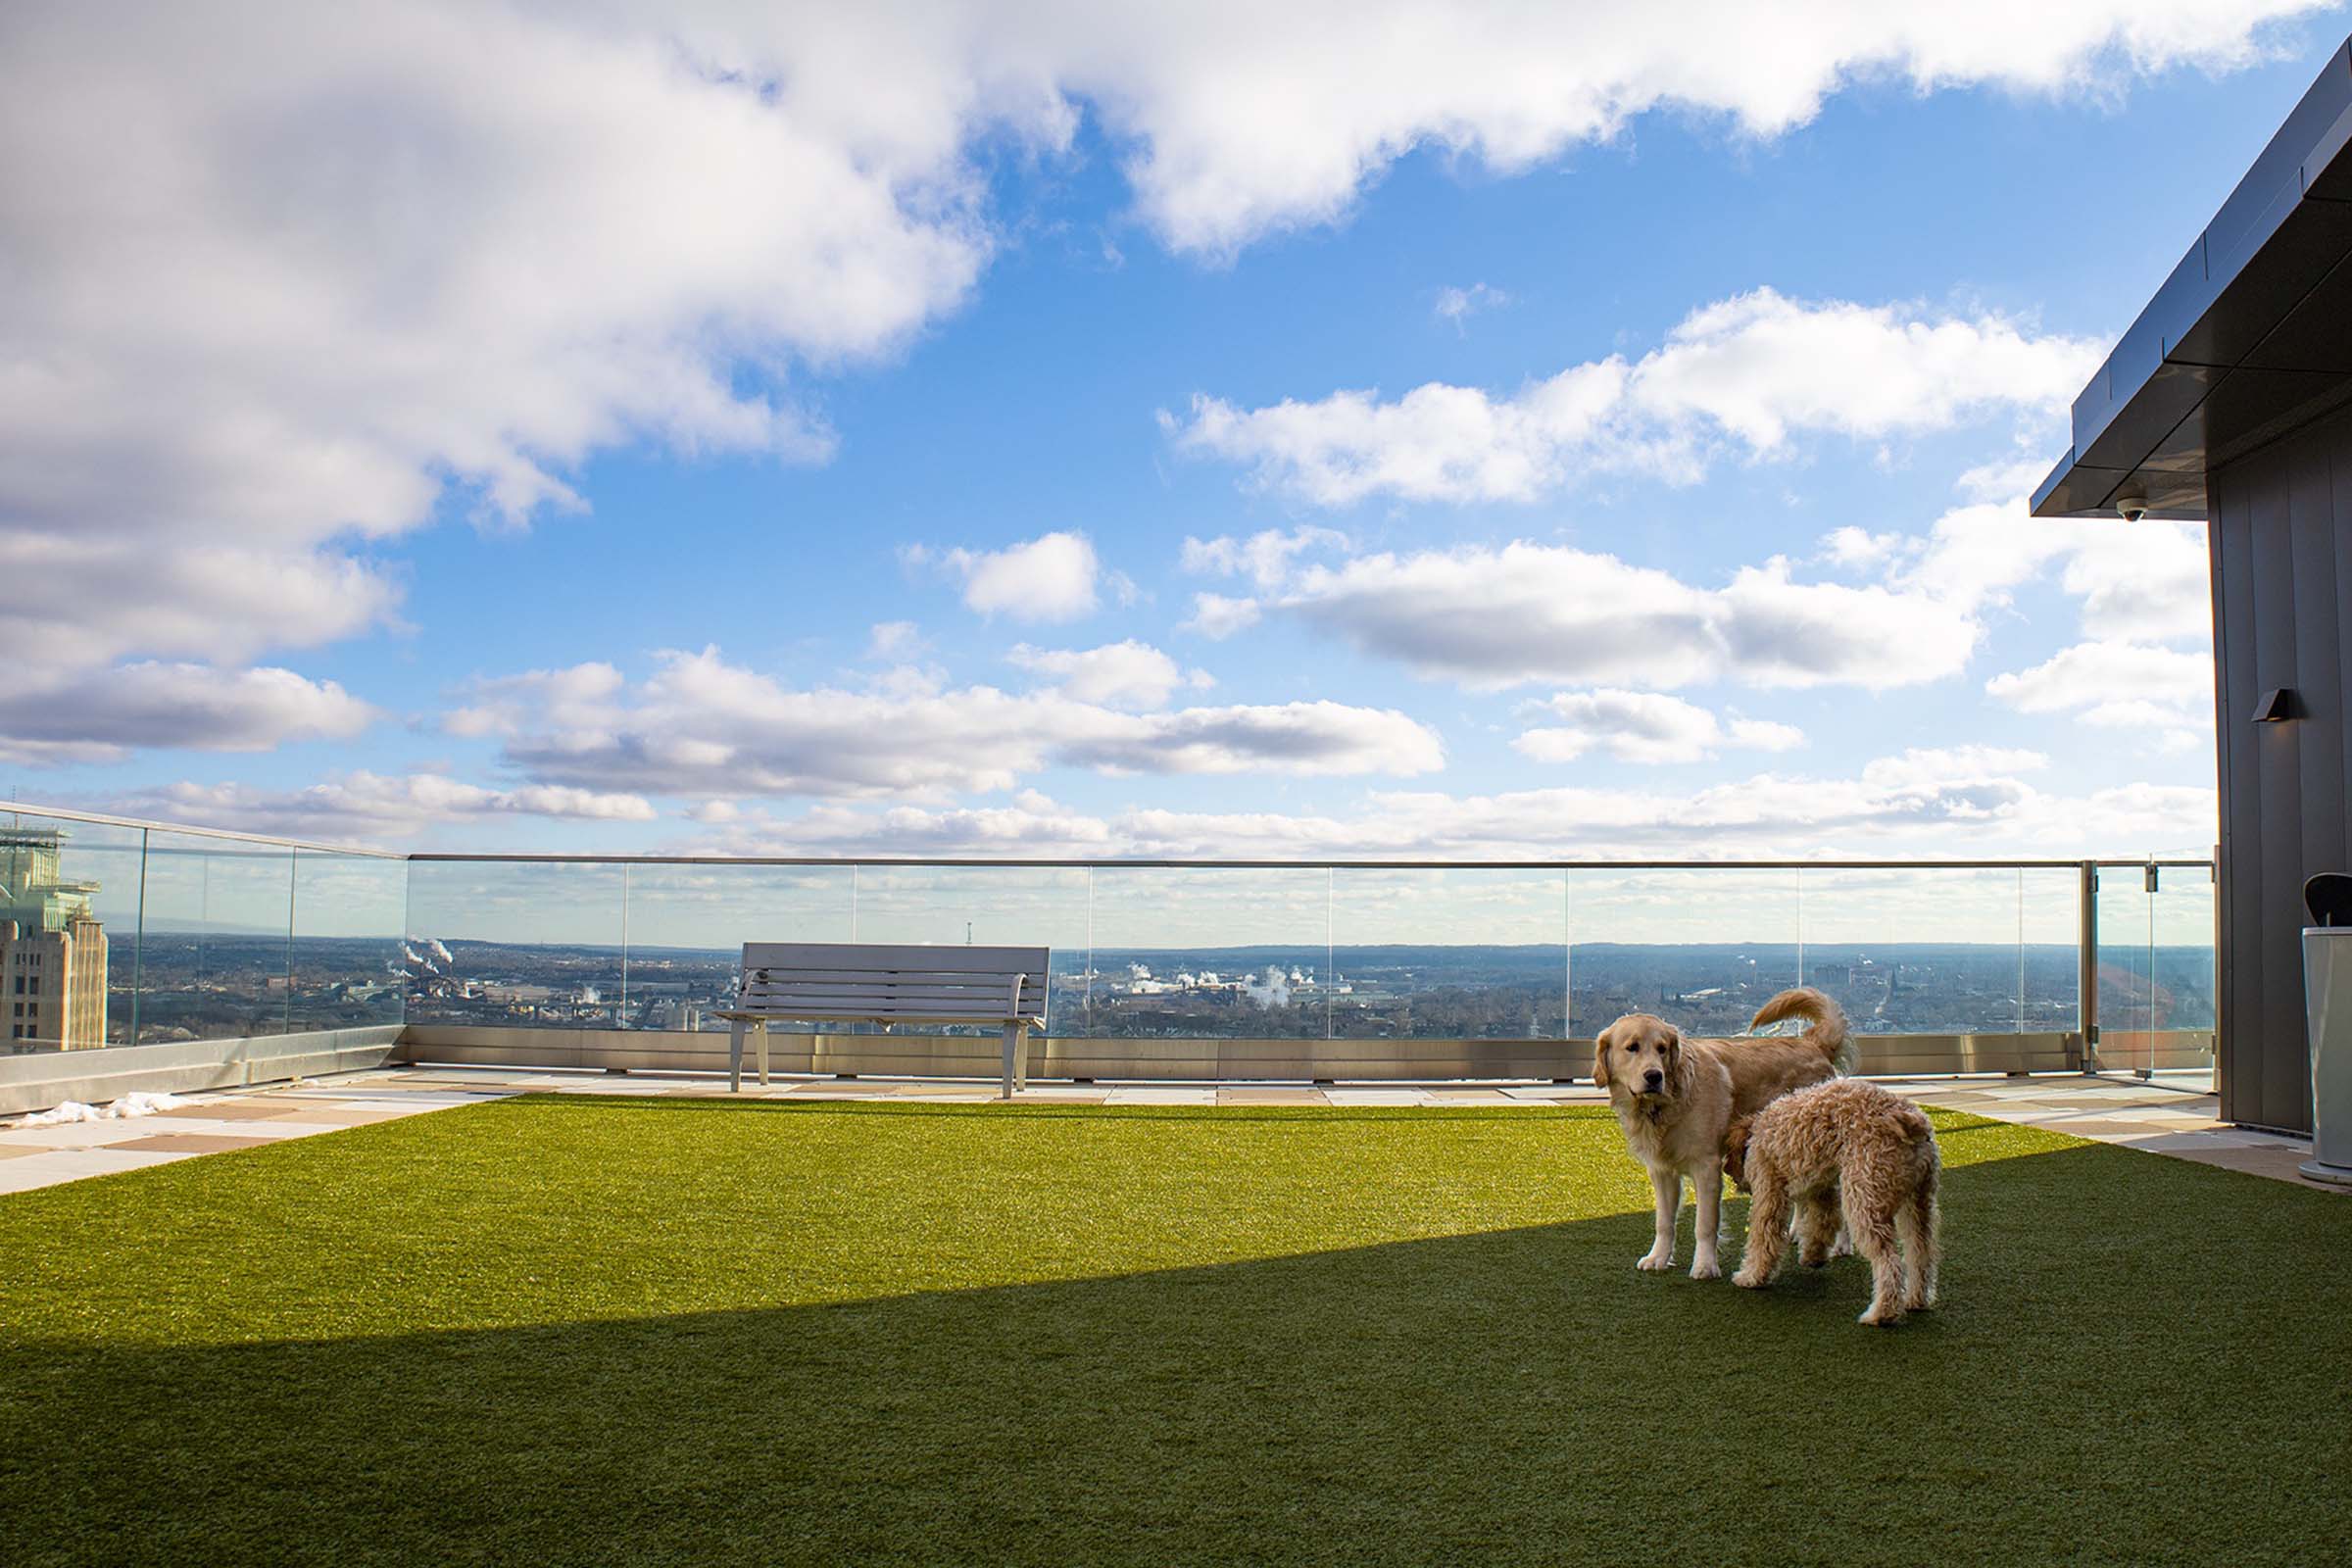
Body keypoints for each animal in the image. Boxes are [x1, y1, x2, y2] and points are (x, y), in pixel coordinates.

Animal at [1599, 992, 1853, 1278]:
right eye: (1632, 1047)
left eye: (1662, 1048)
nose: (1654, 1076)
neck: (1668, 1103)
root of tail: (1814, 1044)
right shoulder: (1662, 1171)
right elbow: (1664, 1222)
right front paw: (1658, 1257)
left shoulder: (1707, 1167)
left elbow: (1705, 1224)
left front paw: (1705, 1265)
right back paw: (1798, 1231)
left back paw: (1841, 1244)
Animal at [1731, 1081, 1947, 1325]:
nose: (1737, 1183)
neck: (1756, 1131)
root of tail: (1911, 1121)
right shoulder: (1821, 1189)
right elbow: (1821, 1225)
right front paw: (1812, 1257)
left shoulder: (1769, 1189)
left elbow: (1763, 1238)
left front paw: (1751, 1276)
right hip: (1919, 1204)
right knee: (1920, 1254)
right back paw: (1916, 1299)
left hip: (1865, 1201)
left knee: (1889, 1263)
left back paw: (1881, 1314)